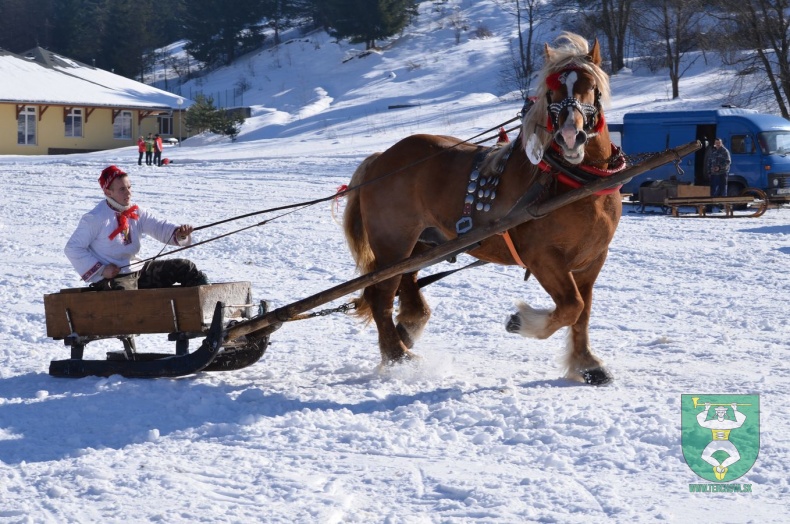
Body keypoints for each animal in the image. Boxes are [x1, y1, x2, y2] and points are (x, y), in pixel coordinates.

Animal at [344, 32, 628, 384]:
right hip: (393, 244)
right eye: (553, 90)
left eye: (590, 85)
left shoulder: (592, 260)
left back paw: (406, 330)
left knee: (404, 287)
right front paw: (522, 323)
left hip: (419, 244)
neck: (577, 183)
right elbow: (571, 307)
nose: (569, 136)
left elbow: (583, 313)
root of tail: (380, 158)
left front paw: (587, 363)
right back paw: (398, 356)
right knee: (380, 296)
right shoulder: (543, 258)